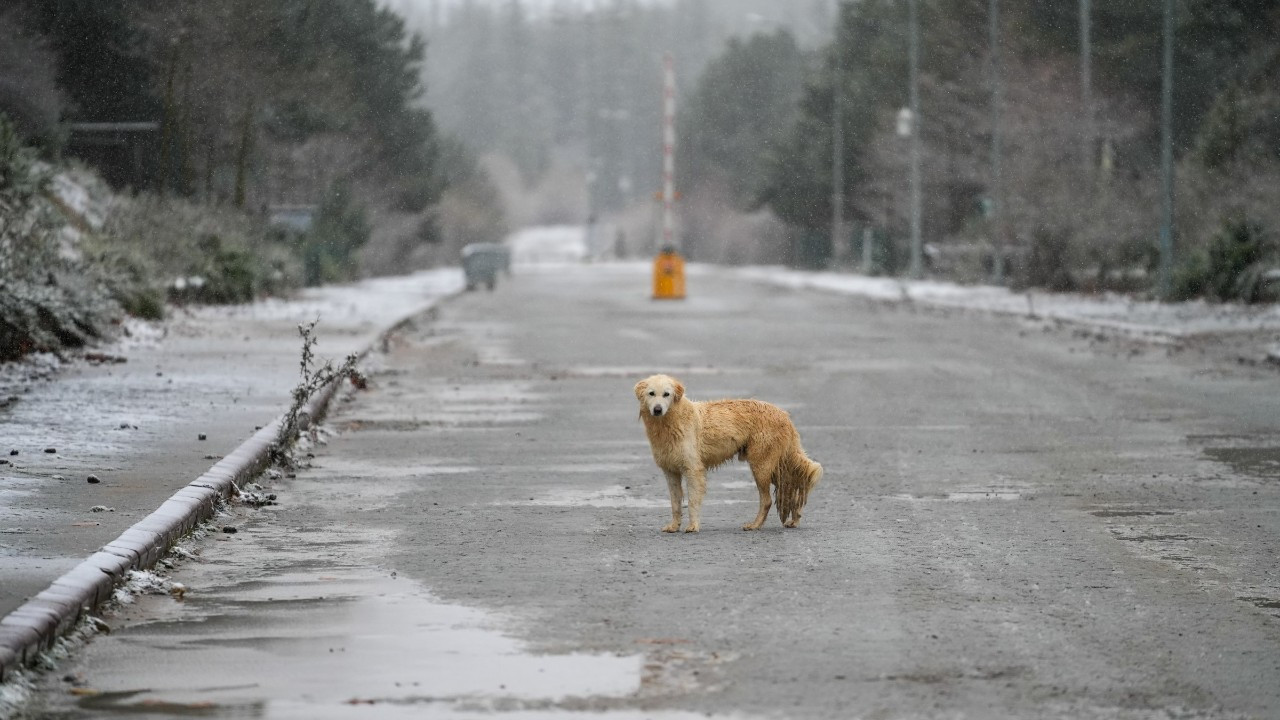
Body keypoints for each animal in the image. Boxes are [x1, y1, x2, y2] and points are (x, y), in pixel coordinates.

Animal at [634, 371, 824, 530]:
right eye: (651, 393)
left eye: (666, 394)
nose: (657, 409)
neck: (669, 423)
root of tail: (783, 415)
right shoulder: (670, 471)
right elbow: (675, 503)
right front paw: (674, 527)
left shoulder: (693, 469)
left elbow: (693, 501)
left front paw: (693, 526)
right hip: (775, 467)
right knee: (793, 488)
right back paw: (794, 521)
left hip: (761, 466)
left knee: (768, 500)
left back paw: (754, 525)